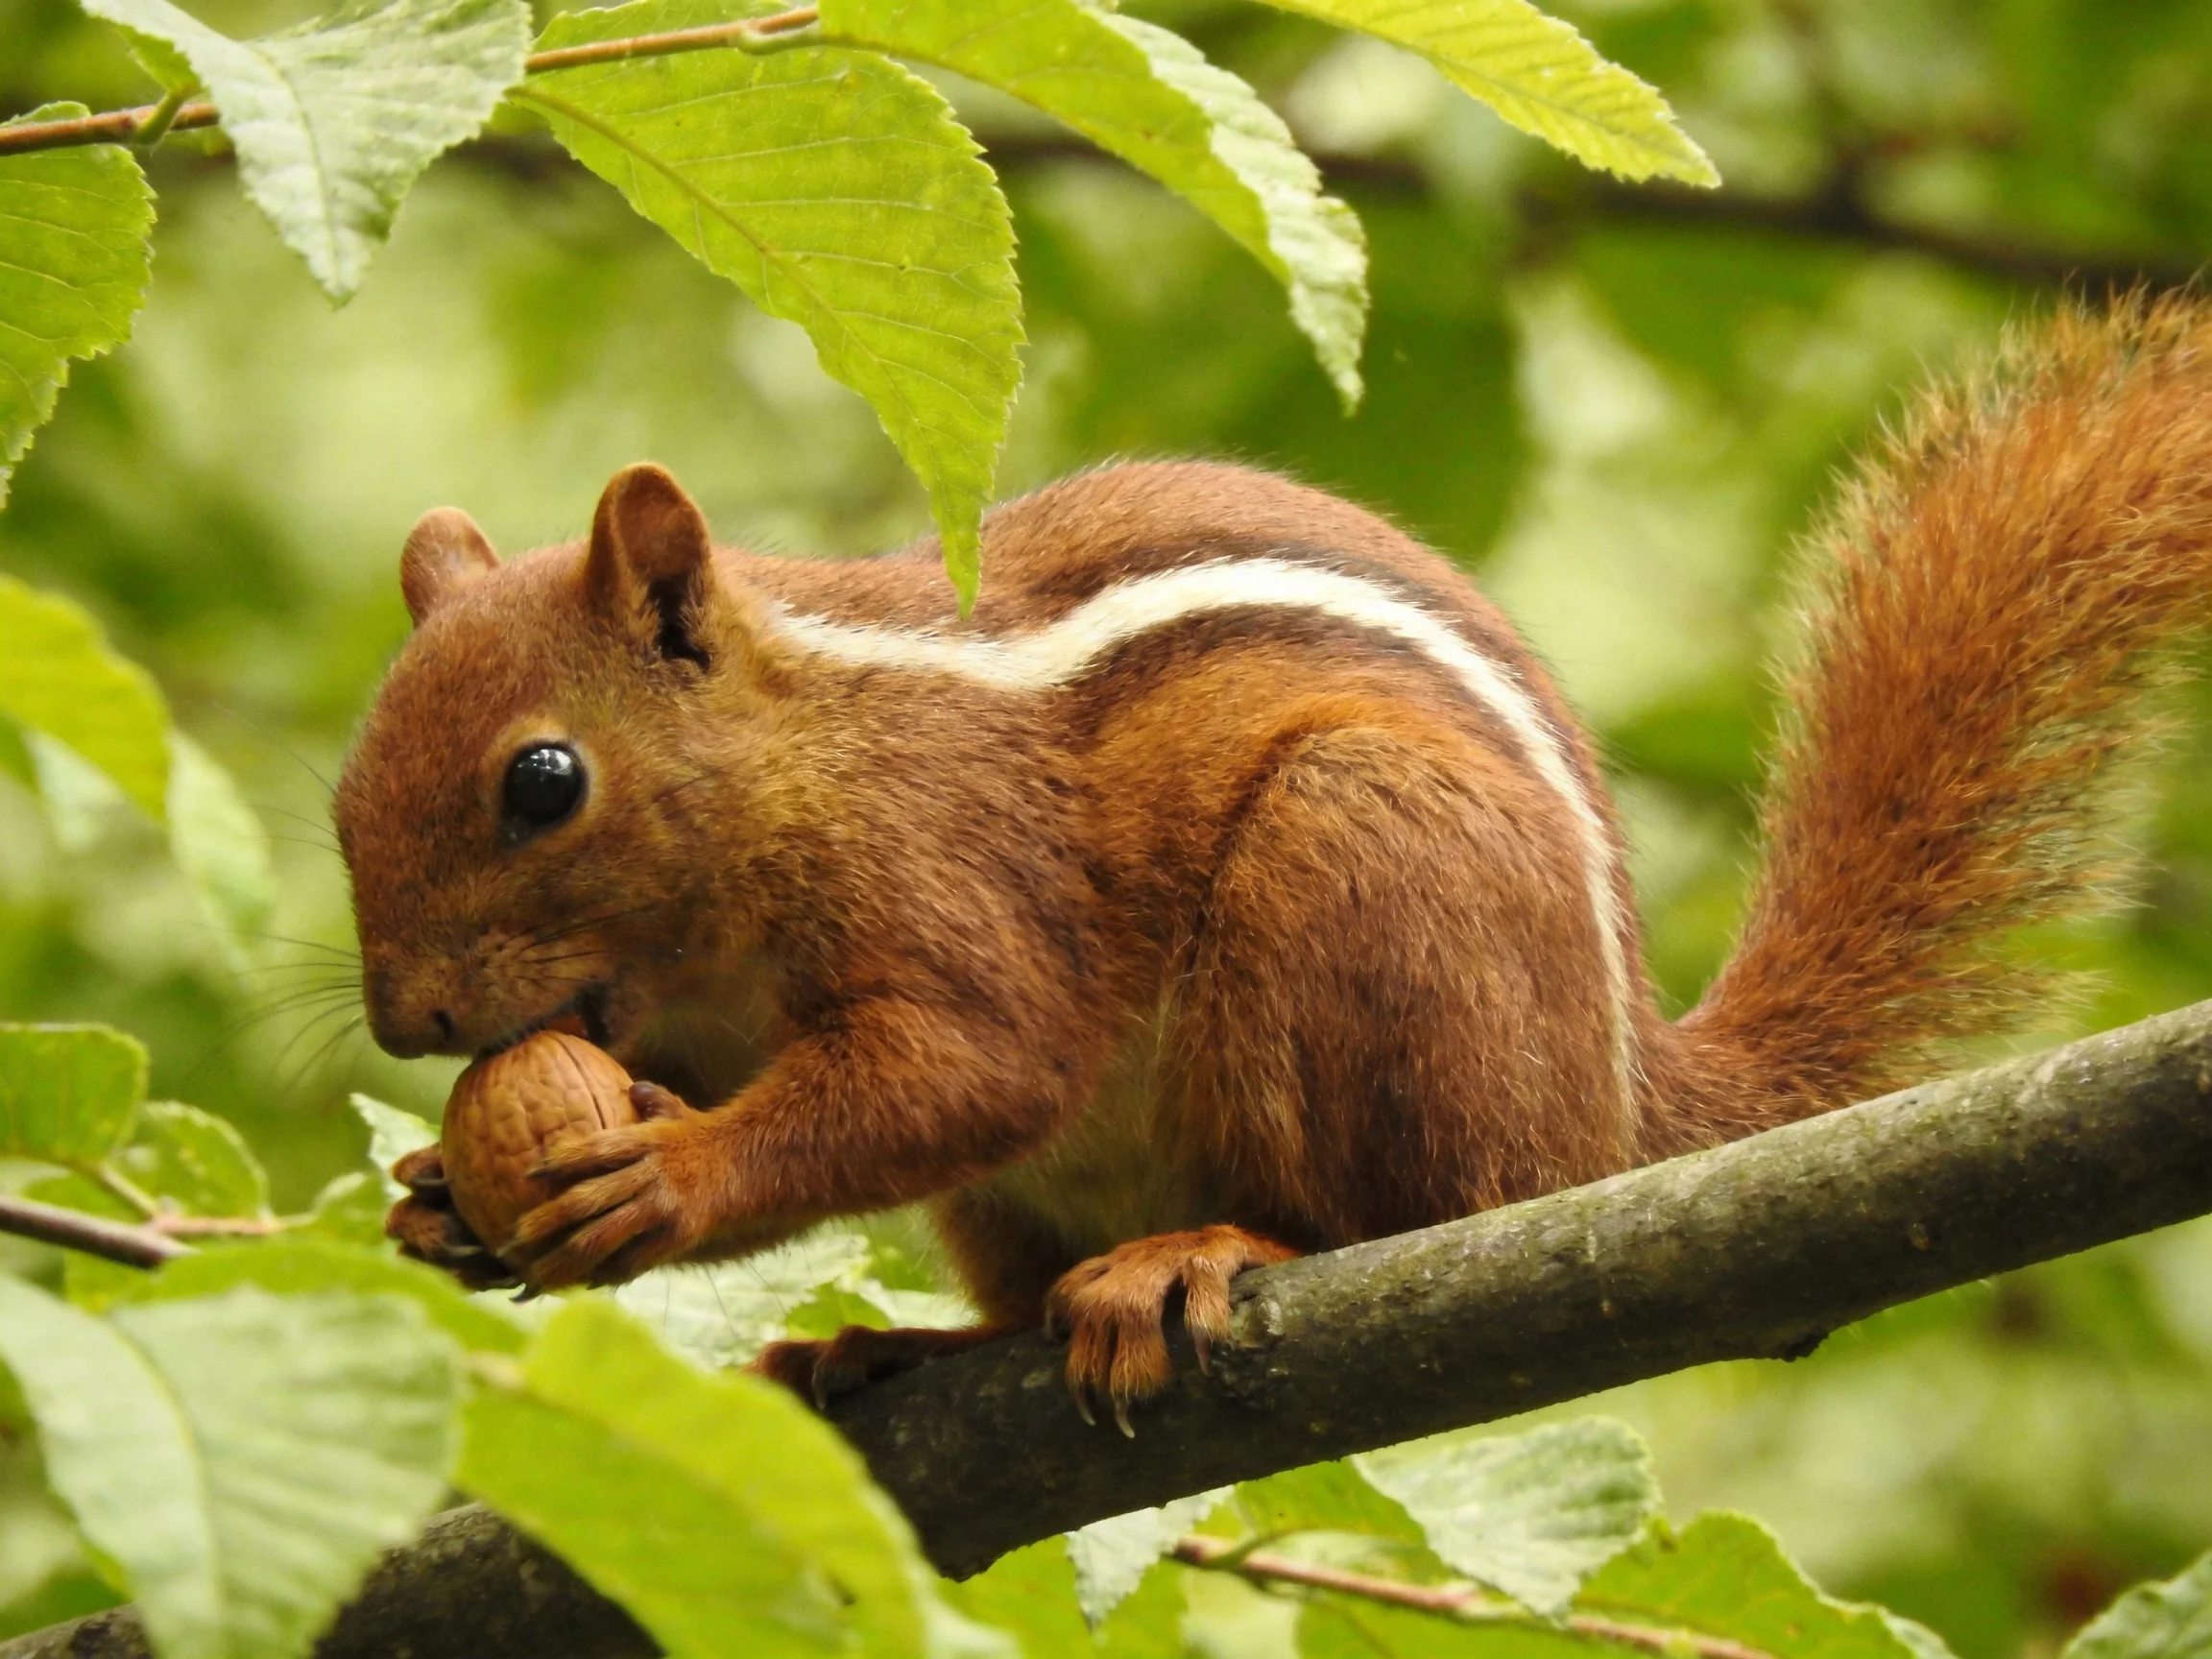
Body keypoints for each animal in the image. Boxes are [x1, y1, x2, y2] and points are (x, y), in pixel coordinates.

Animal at [343, 295, 2212, 1426]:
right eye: (348, 785)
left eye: (545, 781)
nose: (403, 1022)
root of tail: (1613, 1111)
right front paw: (443, 1201)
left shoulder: (965, 872)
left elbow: (967, 1065)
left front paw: (669, 1172)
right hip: (1034, 1190)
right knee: (1015, 1295)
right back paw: (905, 1344)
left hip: (1356, 870)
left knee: (1398, 1209)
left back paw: (1208, 1253)